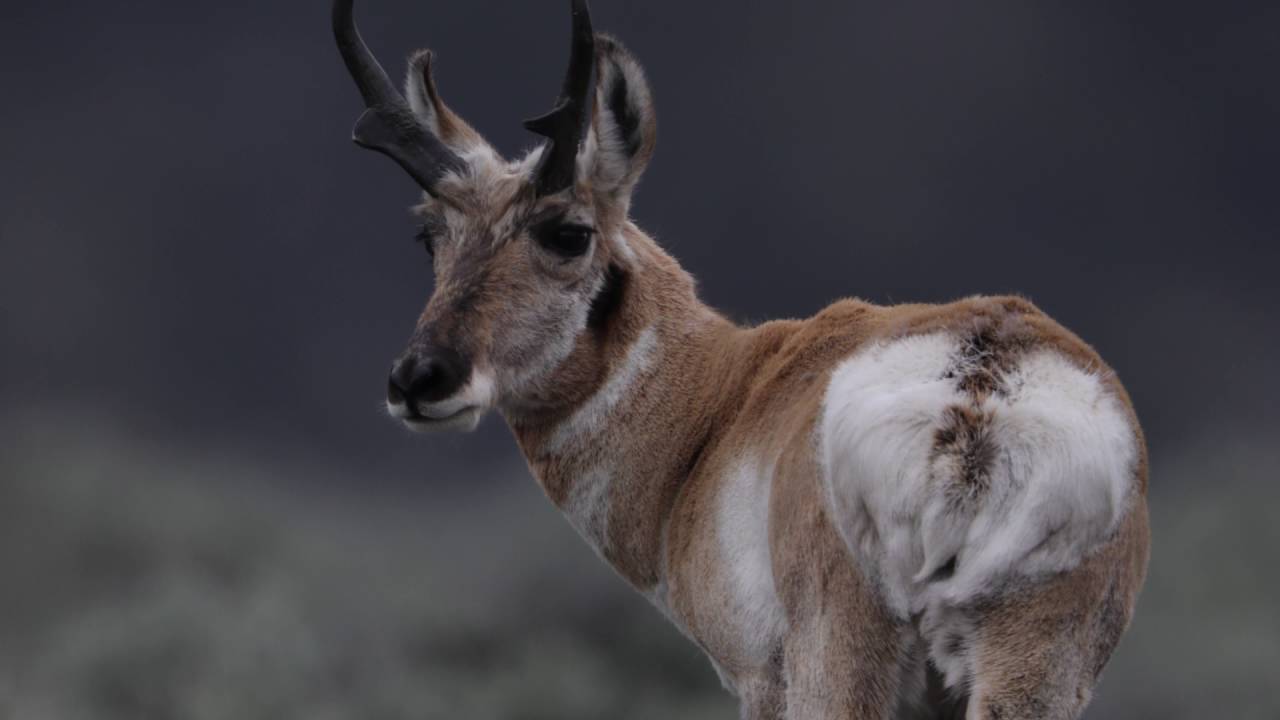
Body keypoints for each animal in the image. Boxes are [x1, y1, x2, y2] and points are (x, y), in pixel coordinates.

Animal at [331, 1, 1150, 718]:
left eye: (568, 232)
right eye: (430, 234)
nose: (419, 380)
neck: (720, 406)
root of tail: (978, 393)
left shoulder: (760, 679)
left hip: (843, 664)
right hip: (1030, 671)